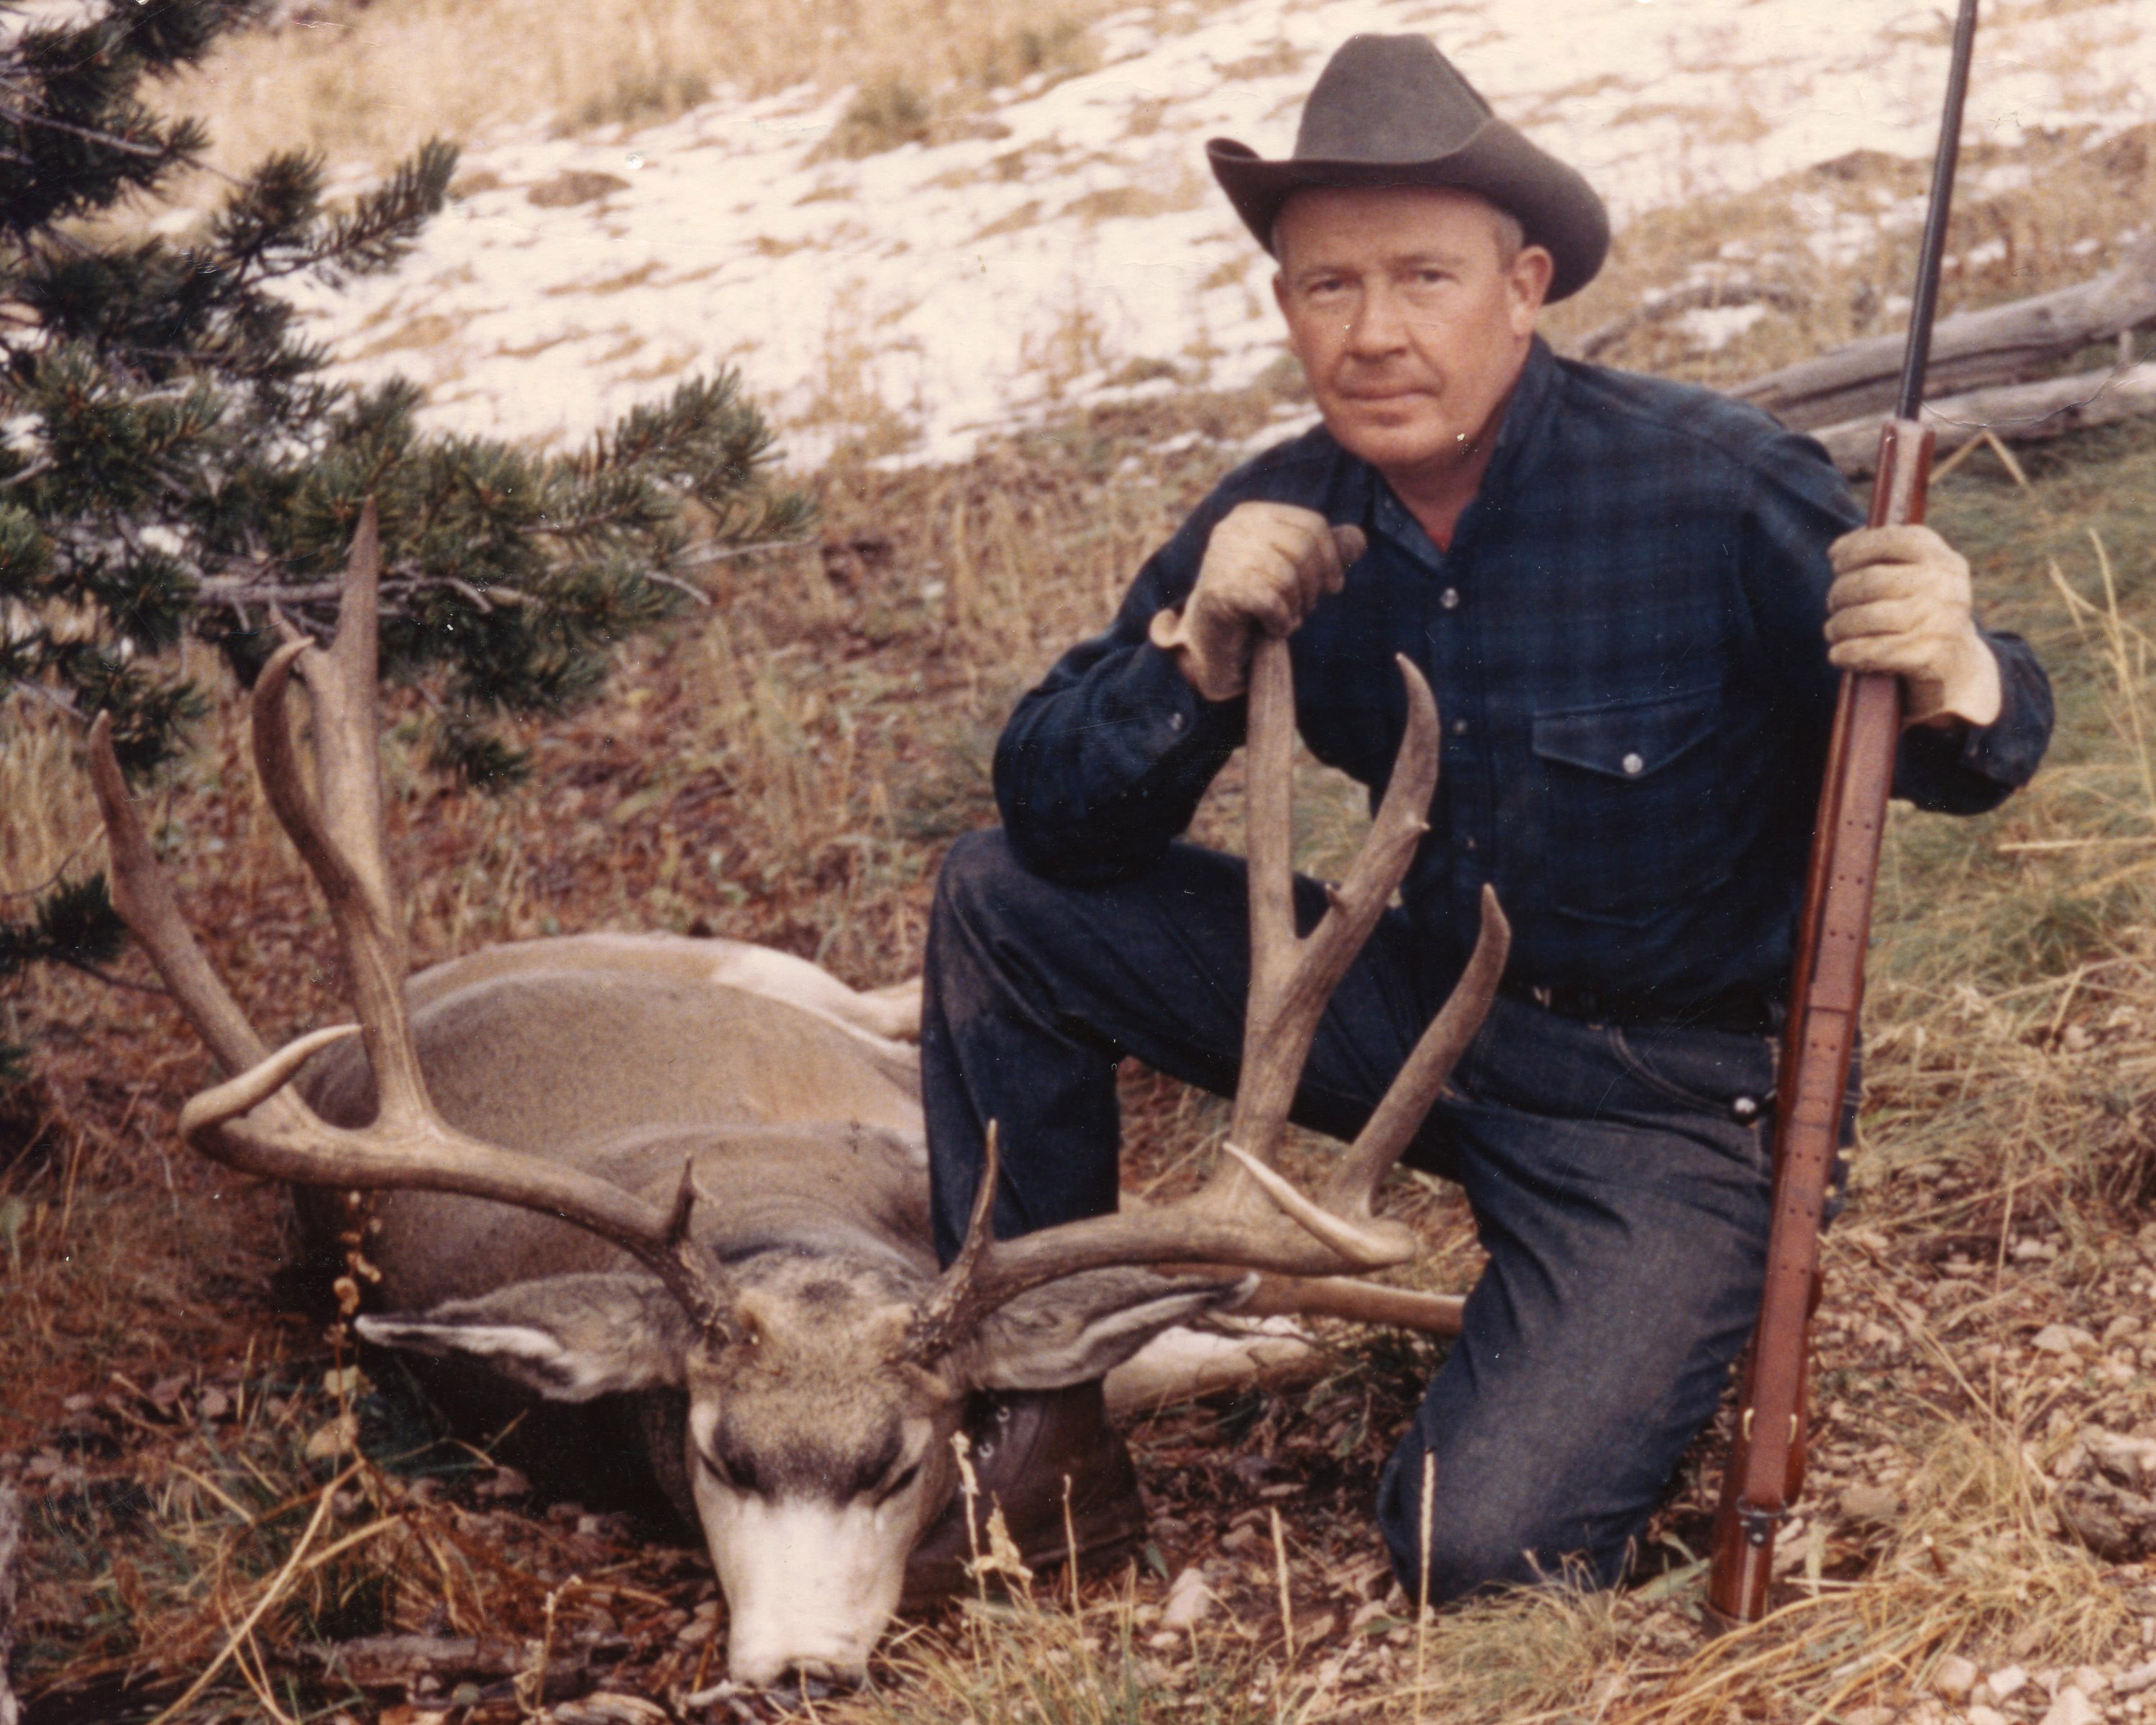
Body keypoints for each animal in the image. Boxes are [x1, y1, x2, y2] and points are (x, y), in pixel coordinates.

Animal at [86, 506, 1510, 1690]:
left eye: (896, 1462)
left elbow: (1274, 1306)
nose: (794, 1670)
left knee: (866, 997)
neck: (788, 1227)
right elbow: (1209, 1335)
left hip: (732, 963)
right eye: (717, 1456)